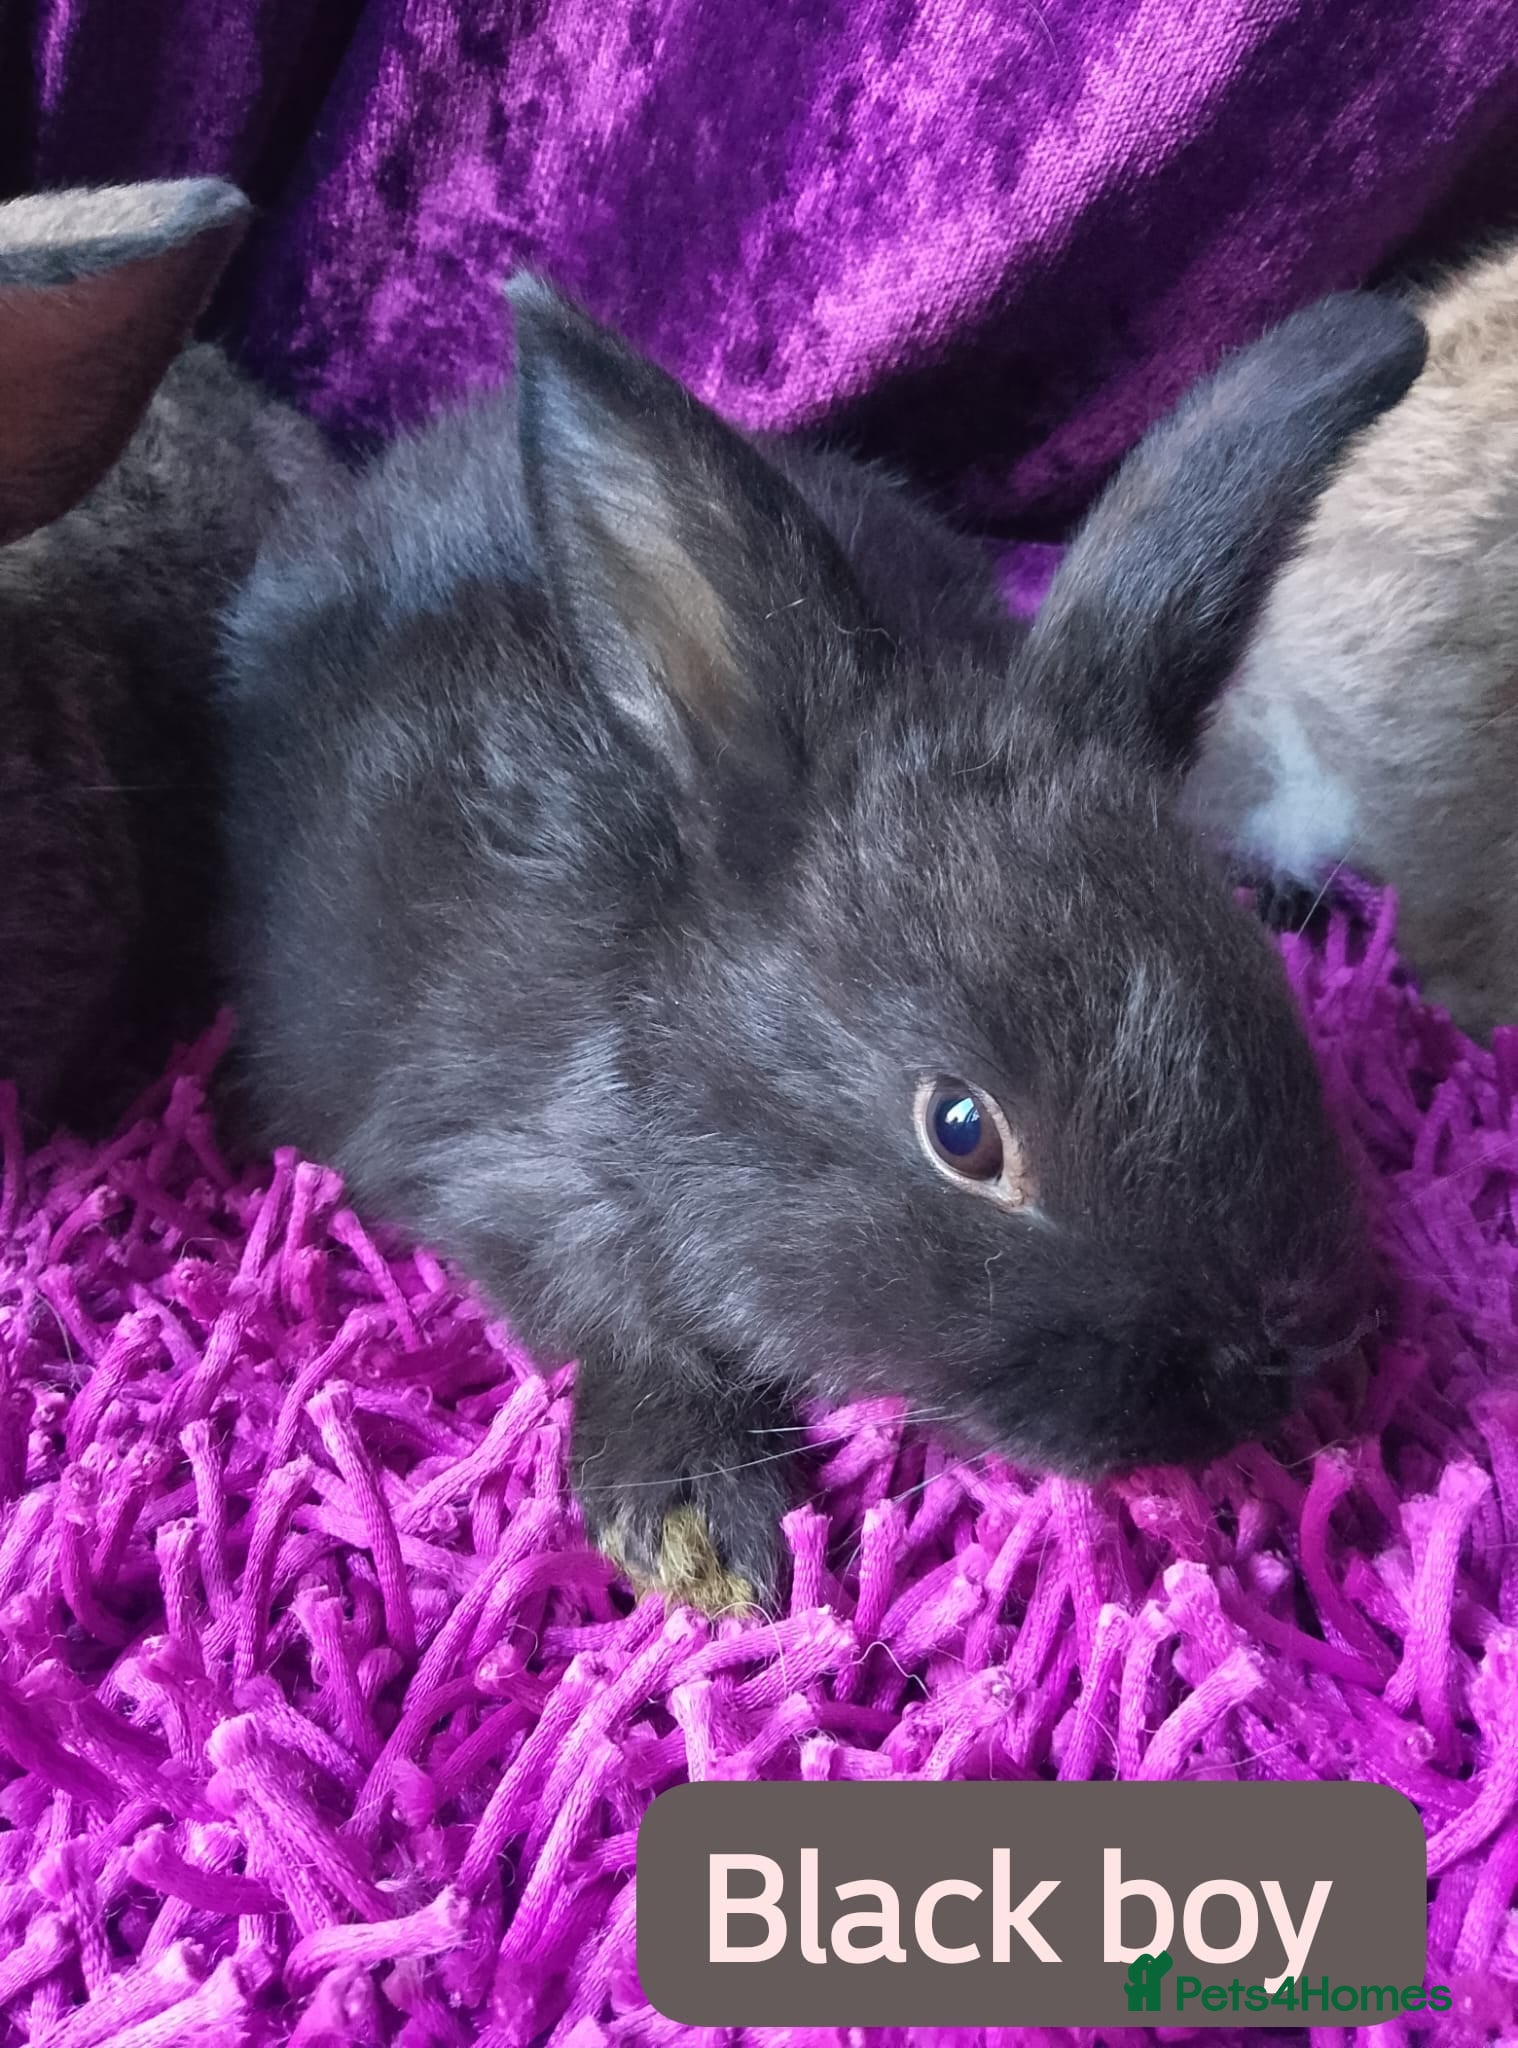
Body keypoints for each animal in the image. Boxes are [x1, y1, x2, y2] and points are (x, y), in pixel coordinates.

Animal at [217, 276, 1425, 1615]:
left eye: (1263, 989)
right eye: (962, 1130)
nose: (1264, 1371)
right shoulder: (495, 1168)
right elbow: (602, 1317)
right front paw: (703, 1530)